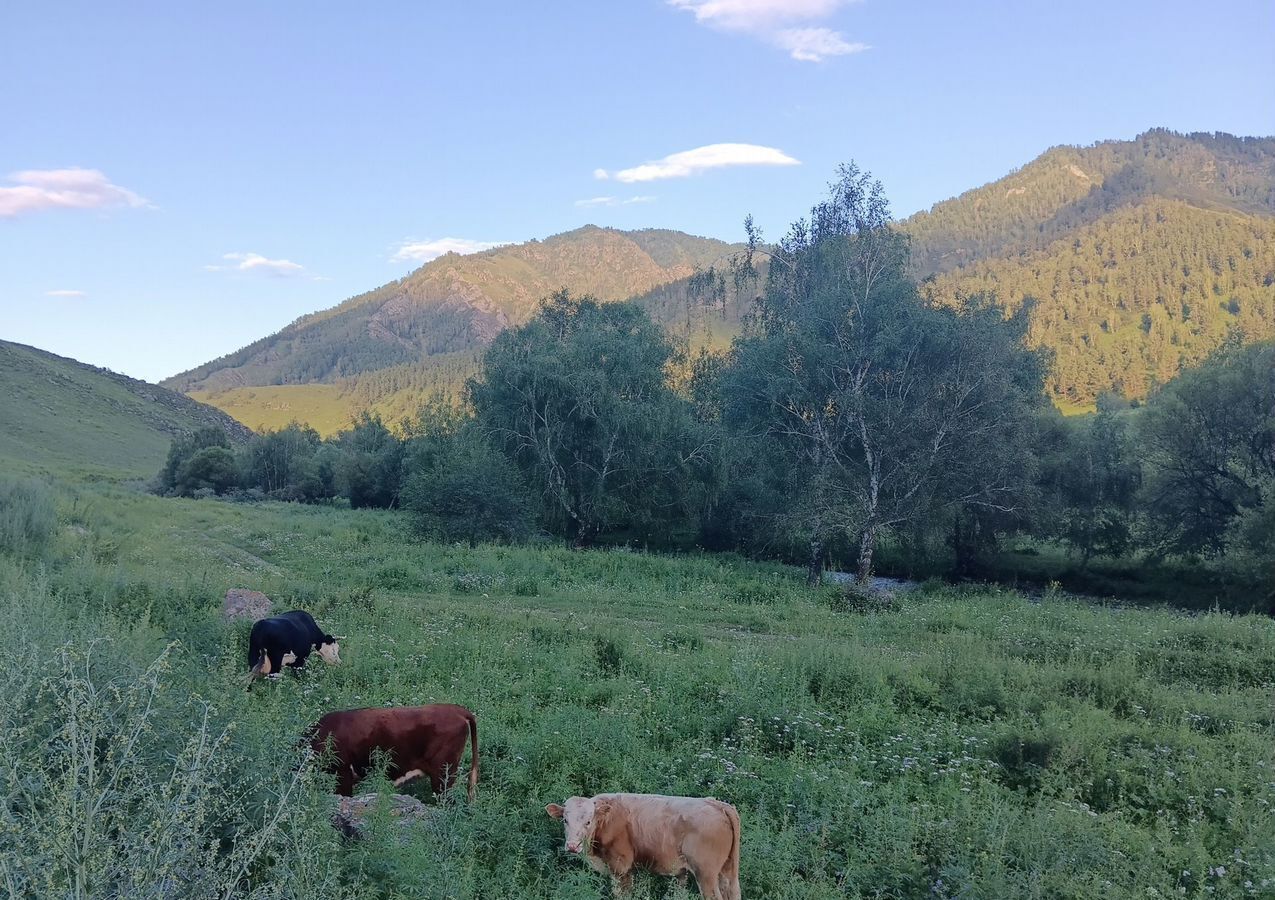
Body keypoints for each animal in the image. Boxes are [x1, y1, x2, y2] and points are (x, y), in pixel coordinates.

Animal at [545, 790, 739, 897]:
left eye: (588, 821)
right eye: (565, 820)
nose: (572, 846)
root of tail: (716, 804)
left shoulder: (620, 867)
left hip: (706, 874)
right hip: (727, 873)